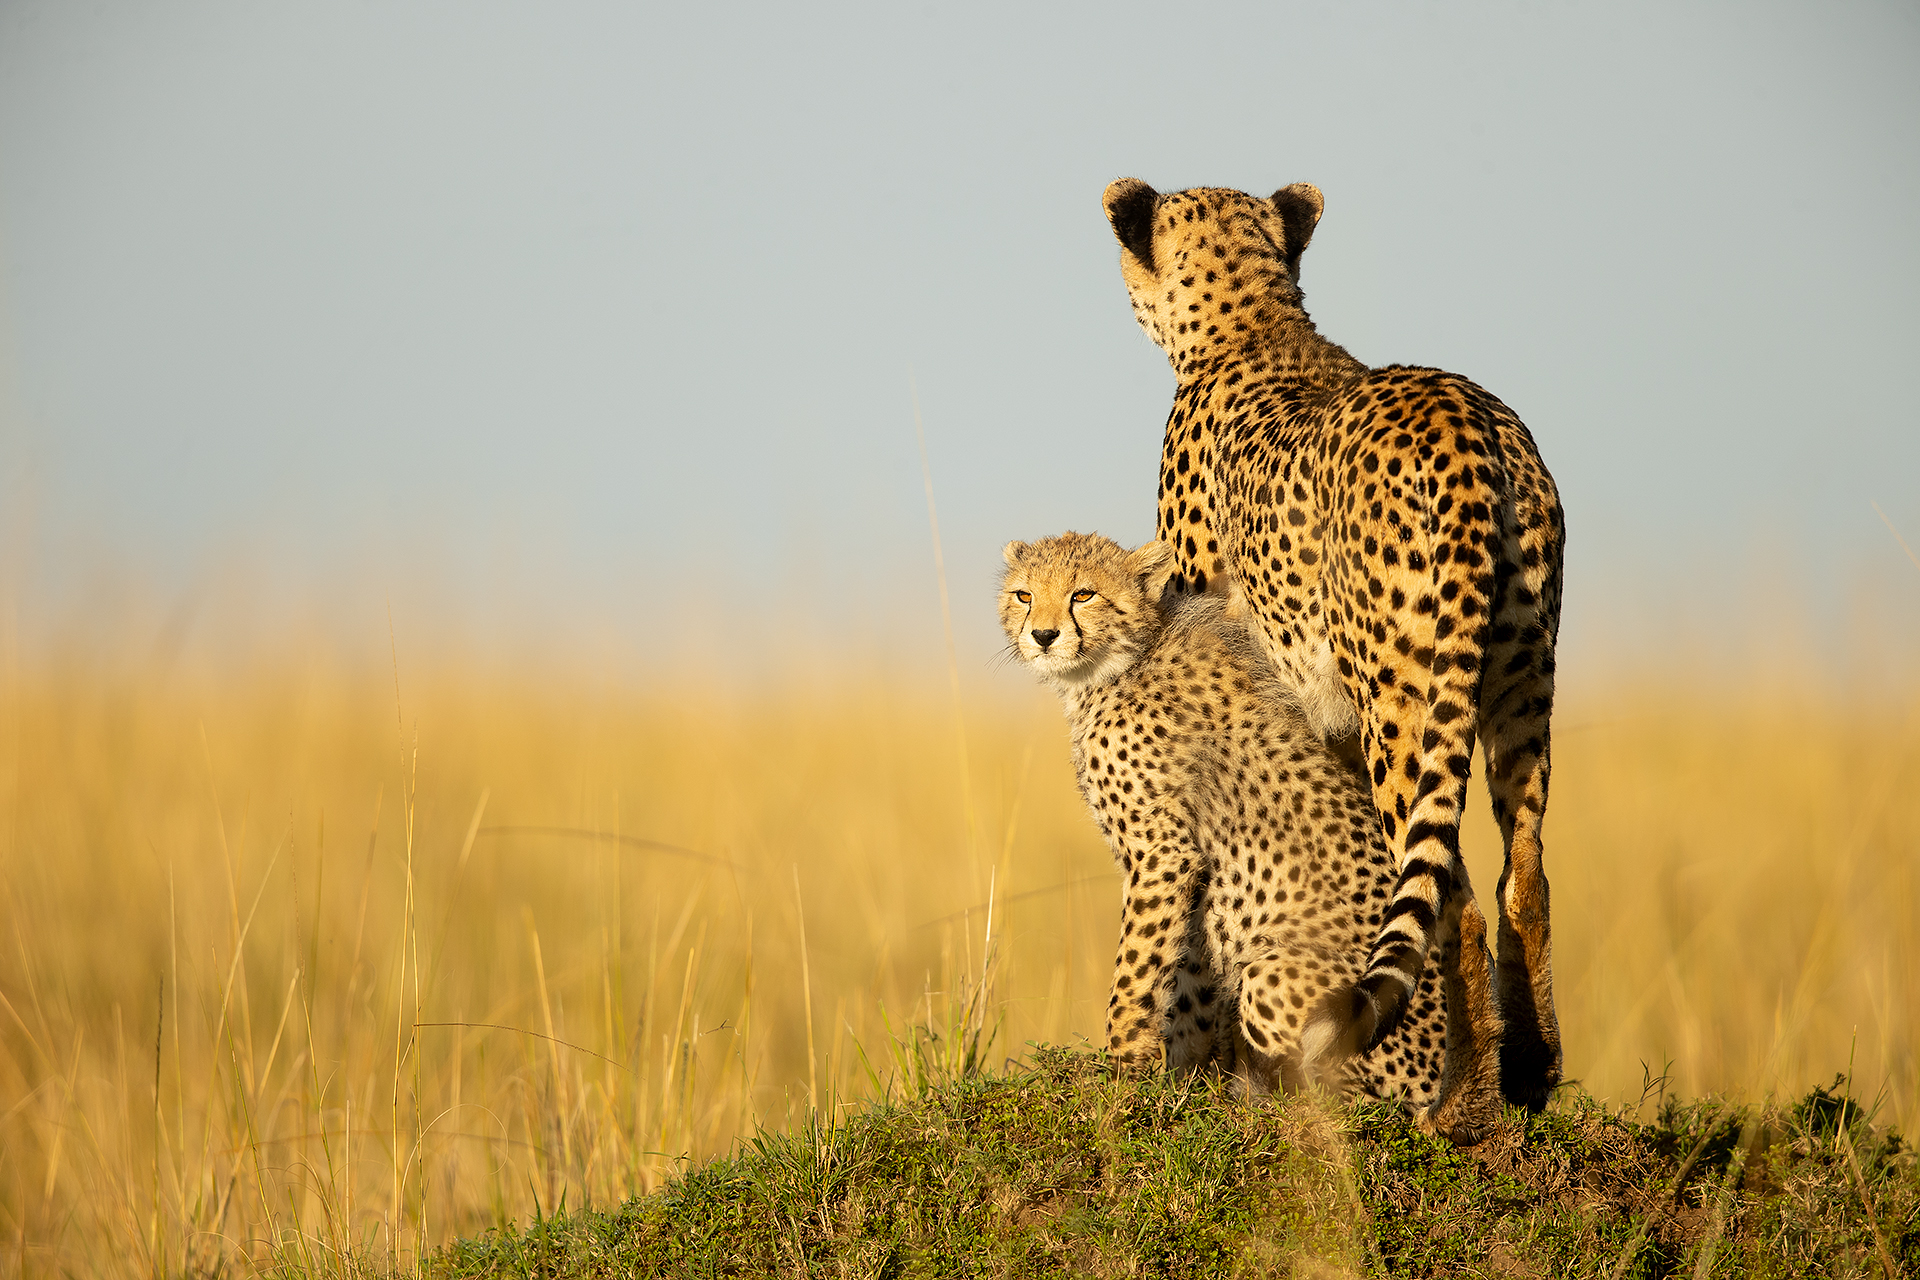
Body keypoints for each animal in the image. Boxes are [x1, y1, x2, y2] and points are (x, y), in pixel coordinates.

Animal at [999, 530, 1503, 1134]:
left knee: (1347, 1106)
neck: (1119, 662)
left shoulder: (1162, 855)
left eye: (1083, 594)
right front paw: (1185, 1083)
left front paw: (1120, 1075)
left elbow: (1135, 974)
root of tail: (1441, 1086)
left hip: (1280, 977)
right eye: (1024, 595)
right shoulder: (1193, 879)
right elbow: (1188, 980)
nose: (1043, 635)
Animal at [1101, 178, 1566, 1113]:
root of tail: (1466, 420)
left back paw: (1464, 1101)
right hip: (1522, 686)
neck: (1253, 323)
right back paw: (1530, 1072)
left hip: (1405, 702)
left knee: (1451, 895)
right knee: (1524, 874)